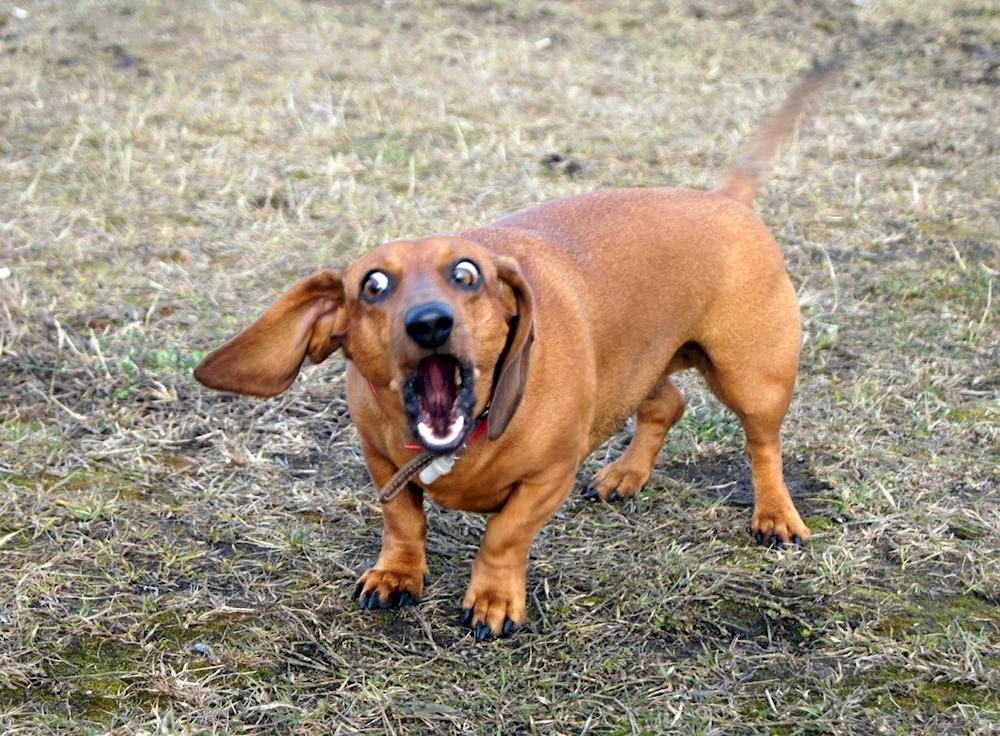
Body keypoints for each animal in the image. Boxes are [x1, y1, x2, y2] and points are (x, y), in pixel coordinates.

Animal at [193, 61, 836, 640]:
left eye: (466, 273)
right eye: (373, 285)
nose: (430, 323)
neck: (465, 436)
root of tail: (724, 199)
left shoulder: (547, 478)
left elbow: (503, 536)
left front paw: (493, 600)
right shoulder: (381, 461)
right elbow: (403, 520)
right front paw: (397, 574)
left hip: (751, 377)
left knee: (763, 446)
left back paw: (776, 515)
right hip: (638, 362)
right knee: (665, 405)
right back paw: (625, 475)